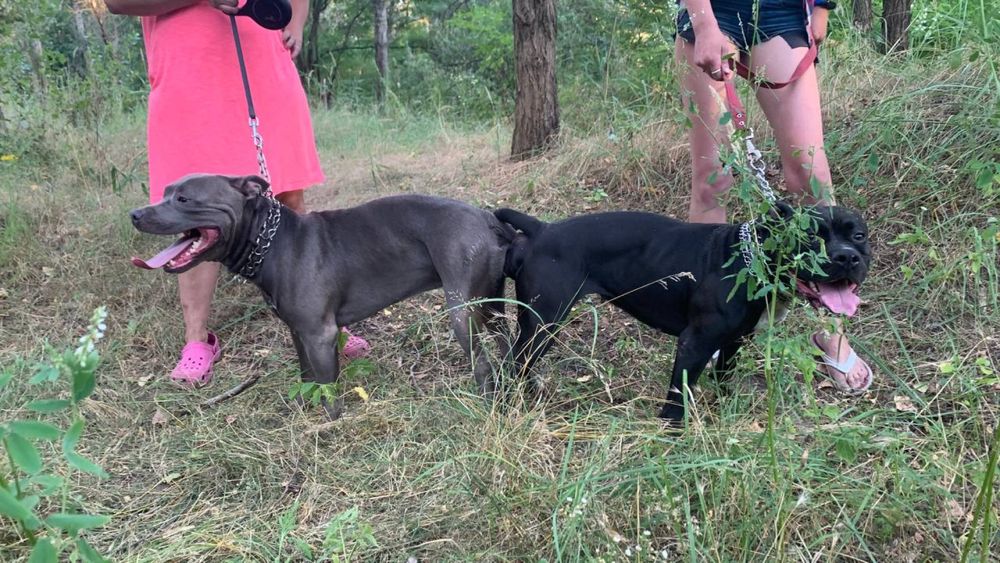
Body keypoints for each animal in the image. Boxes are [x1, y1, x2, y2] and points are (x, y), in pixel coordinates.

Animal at [129, 175, 512, 418]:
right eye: (165, 192)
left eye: (184, 199)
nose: (135, 213)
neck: (271, 243)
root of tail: (486, 216)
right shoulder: (299, 333)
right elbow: (306, 376)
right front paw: (303, 407)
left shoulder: (320, 334)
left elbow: (328, 388)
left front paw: (331, 424)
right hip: (491, 306)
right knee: (506, 341)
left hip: (462, 312)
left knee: (481, 363)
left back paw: (486, 403)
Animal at [496, 204, 872, 424]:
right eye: (808, 236)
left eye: (858, 235)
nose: (846, 257)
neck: (750, 262)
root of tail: (542, 228)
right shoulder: (695, 343)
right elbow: (678, 394)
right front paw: (673, 433)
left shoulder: (732, 343)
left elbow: (724, 379)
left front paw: (724, 410)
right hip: (543, 323)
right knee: (514, 363)